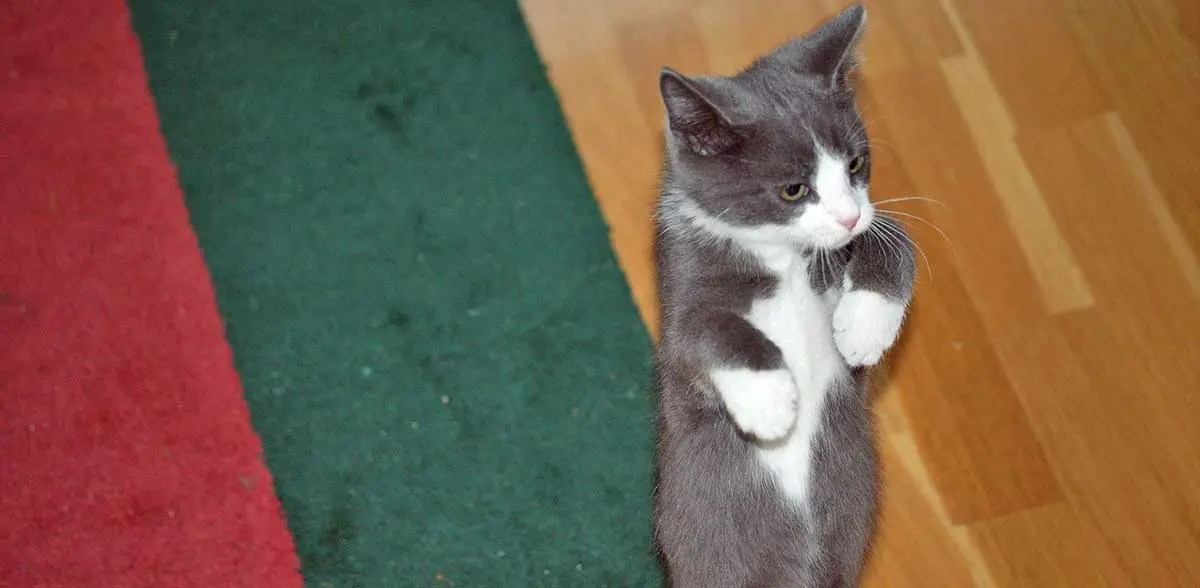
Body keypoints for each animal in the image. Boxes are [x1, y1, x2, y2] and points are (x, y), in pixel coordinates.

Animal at [652, 5, 912, 588]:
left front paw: (866, 327)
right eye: (794, 189)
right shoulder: (683, 297)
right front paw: (769, 402)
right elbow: (705, 327)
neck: (784, 259)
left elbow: (897, 238)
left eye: (855, 164)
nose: (849, 216)